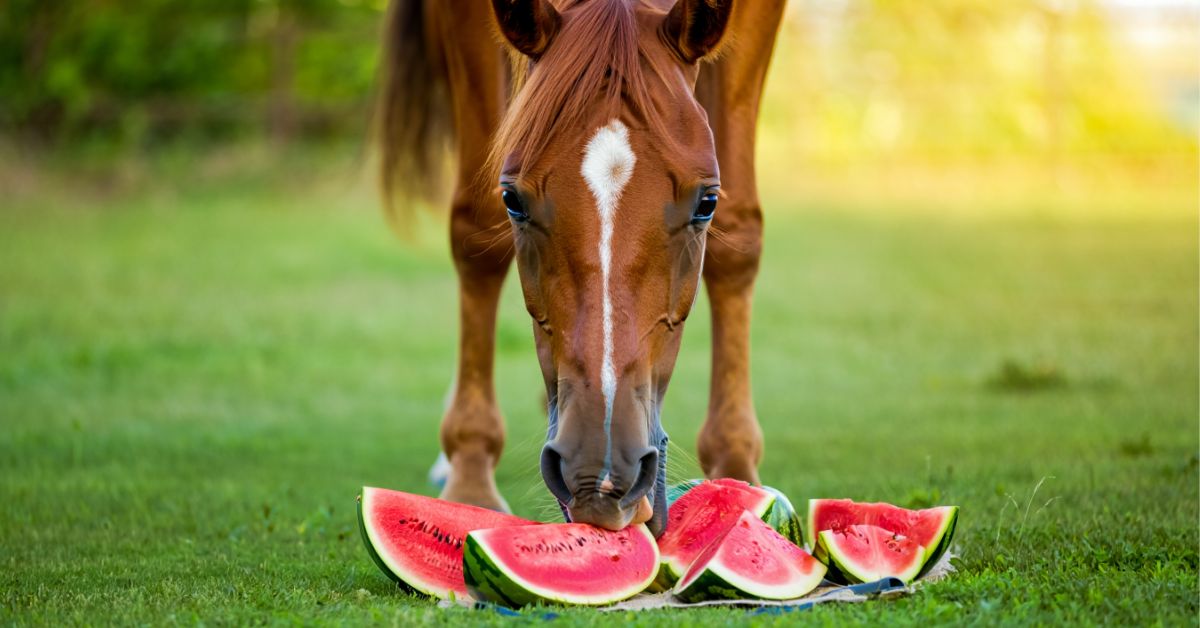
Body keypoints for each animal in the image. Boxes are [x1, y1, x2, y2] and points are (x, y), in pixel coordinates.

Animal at [376, 0, 785, 536]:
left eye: (706, 203)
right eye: (512, 199)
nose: (601, 479)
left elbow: (738, 238)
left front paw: (736, 466)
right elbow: (476, 232)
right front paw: (470, 473)